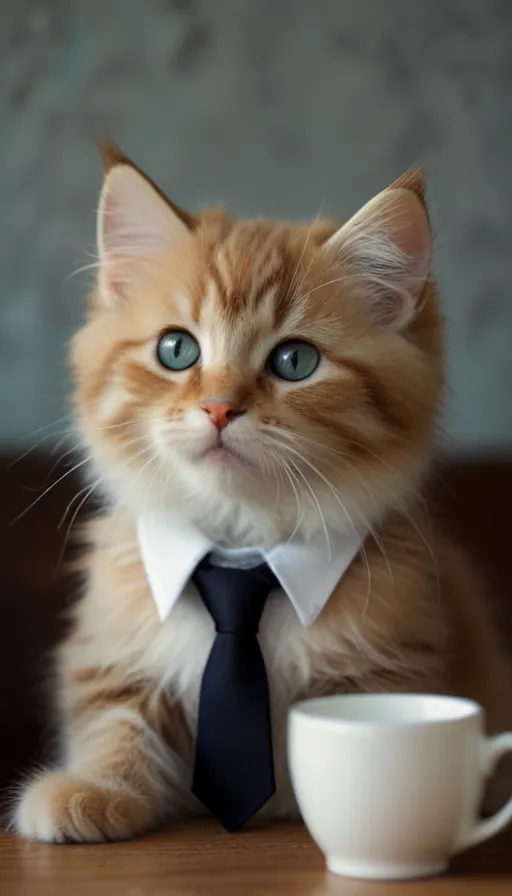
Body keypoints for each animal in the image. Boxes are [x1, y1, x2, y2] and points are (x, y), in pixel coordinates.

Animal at [13, 145, 512, 840]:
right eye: (176, 349)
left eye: (294, 362)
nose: (220, 408)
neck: (241, 546)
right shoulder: (109, 650)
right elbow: (115, 717)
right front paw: (95, 786)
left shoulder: (394, 662)